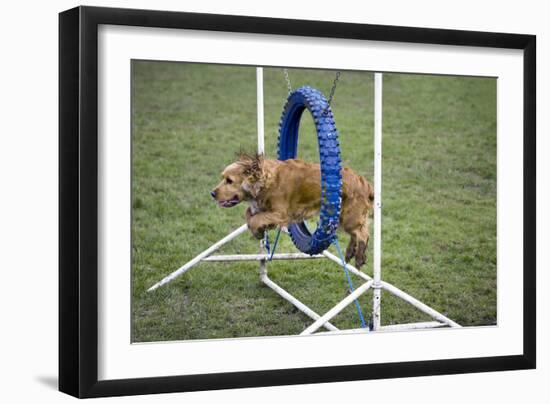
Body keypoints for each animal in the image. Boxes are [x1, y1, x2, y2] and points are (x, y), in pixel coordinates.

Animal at [211, 153, 376, 270]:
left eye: (229, 181)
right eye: (223, 178)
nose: (212, 193)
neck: (267, 181)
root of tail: (365, 183)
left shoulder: (281, 213)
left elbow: (256, 219)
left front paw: (257, 230)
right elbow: (248, 214)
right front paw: (259, 230)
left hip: (349, 217)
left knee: (363, 234)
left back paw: (359, 257)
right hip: (342, 217)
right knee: (358, 232)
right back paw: (350, 252)